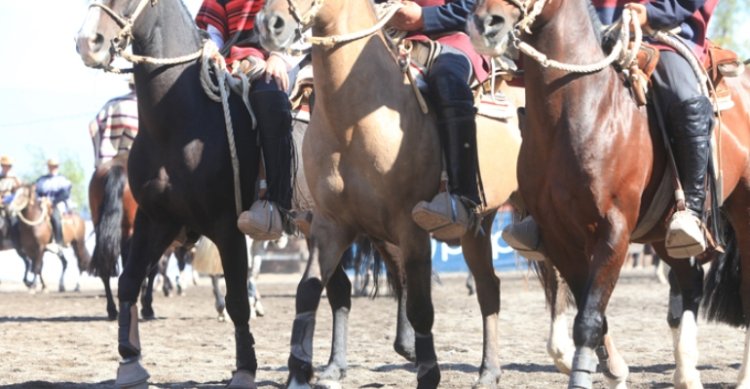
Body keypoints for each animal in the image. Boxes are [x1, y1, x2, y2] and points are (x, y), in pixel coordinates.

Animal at [78, 0, 266, 384]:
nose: (87, 41)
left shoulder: (228, 226)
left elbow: (238, 298)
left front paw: (245, 367)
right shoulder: (156, 220)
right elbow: (129, 280)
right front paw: (130, 360)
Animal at [258, 1, 552, 386]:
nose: (270, 23)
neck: (355, 122)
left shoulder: (410, 229)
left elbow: (420, 305)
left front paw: (427, 373)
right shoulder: (328, 225)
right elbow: (310, 291)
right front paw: (300, 372)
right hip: (478, 225)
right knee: (489, 288)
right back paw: (489, 371)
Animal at [472, 1, 750, 386]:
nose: (487, 23)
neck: (580, 111)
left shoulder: (613, 233)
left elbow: (588, 319)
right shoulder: (561, 239)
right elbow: (590, 309)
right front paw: (614, 369)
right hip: (664, 235)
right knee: (691, 282)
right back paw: (686, 373)